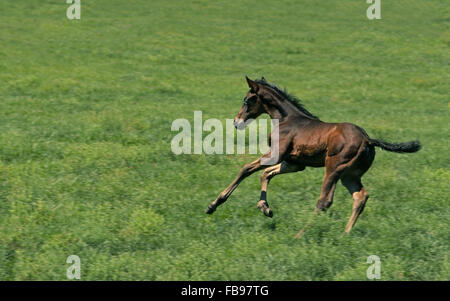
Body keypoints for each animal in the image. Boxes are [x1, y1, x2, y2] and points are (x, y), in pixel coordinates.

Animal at [206, 75, 420, 234]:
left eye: (246, 100)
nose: (236, 122)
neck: (286, 119)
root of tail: (368, 139)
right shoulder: (294, 163)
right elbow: (265, 174)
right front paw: (265, 208)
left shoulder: (276, 154)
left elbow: (246, 169)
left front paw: (214, 204)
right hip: (350, 175)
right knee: (360, 197)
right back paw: (345, 235)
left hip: (334, 169)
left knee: (324, 201)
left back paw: (300, 234)